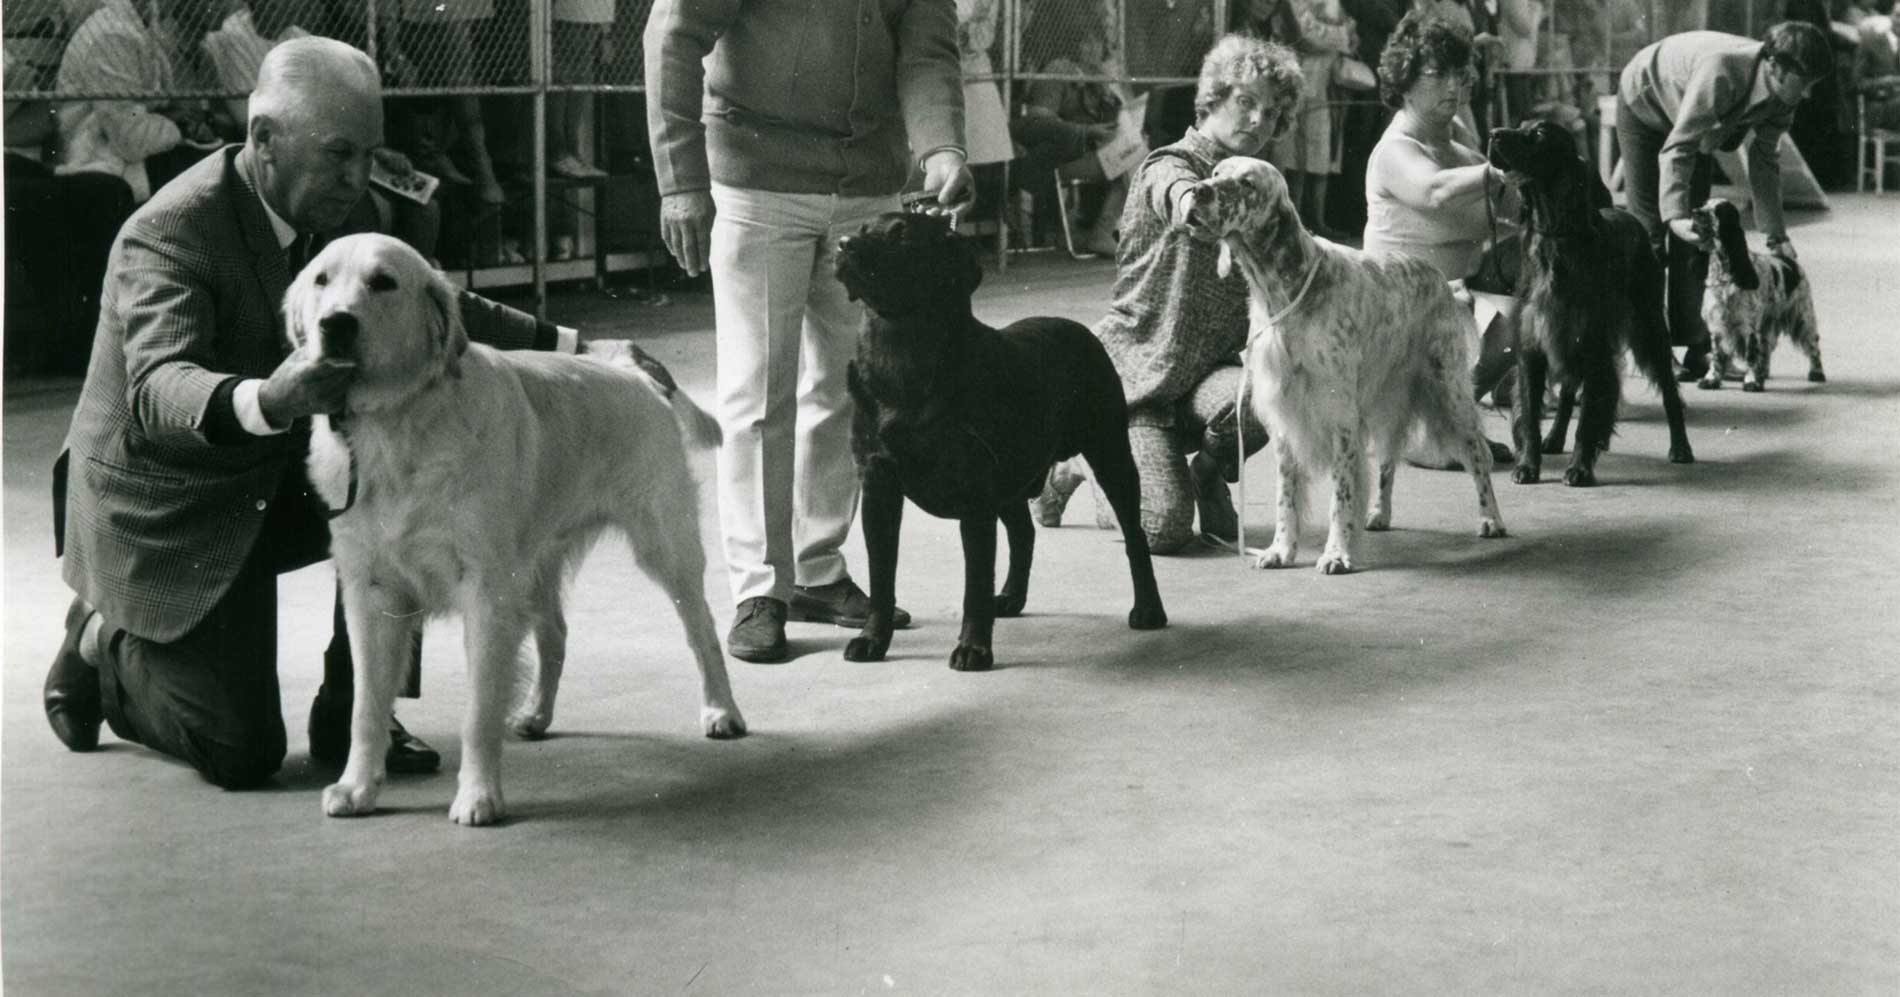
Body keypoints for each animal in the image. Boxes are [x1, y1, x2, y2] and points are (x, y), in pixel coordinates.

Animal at [836, 212, 1162, 672]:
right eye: (864, 229)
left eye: (902, 236)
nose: (845, 243)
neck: (901, 358)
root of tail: (1082, 330)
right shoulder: (879, 484)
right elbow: (882, 576)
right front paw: (872, 640)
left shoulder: (974, 492)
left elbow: (974, 582)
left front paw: (973, 649)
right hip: (1013, 476)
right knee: (1024, 533)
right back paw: (1009, 598)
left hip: (1110, 453)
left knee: (1134, 536)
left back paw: (1149, 609)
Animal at [1482, 120, 1694, 486]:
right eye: (1520, 125)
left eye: (1538, 135)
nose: (1494, 133)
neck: (1555, 237)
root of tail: (1630, 217)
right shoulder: (1534, 345)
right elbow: (1530, 414)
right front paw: (1528, 465)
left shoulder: (1593, 345)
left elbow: (1589, 416)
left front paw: (1580, 468)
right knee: (1568, 391)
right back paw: (1555, 438)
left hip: (1649, 327)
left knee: (1669, 390)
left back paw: (1680, 447)